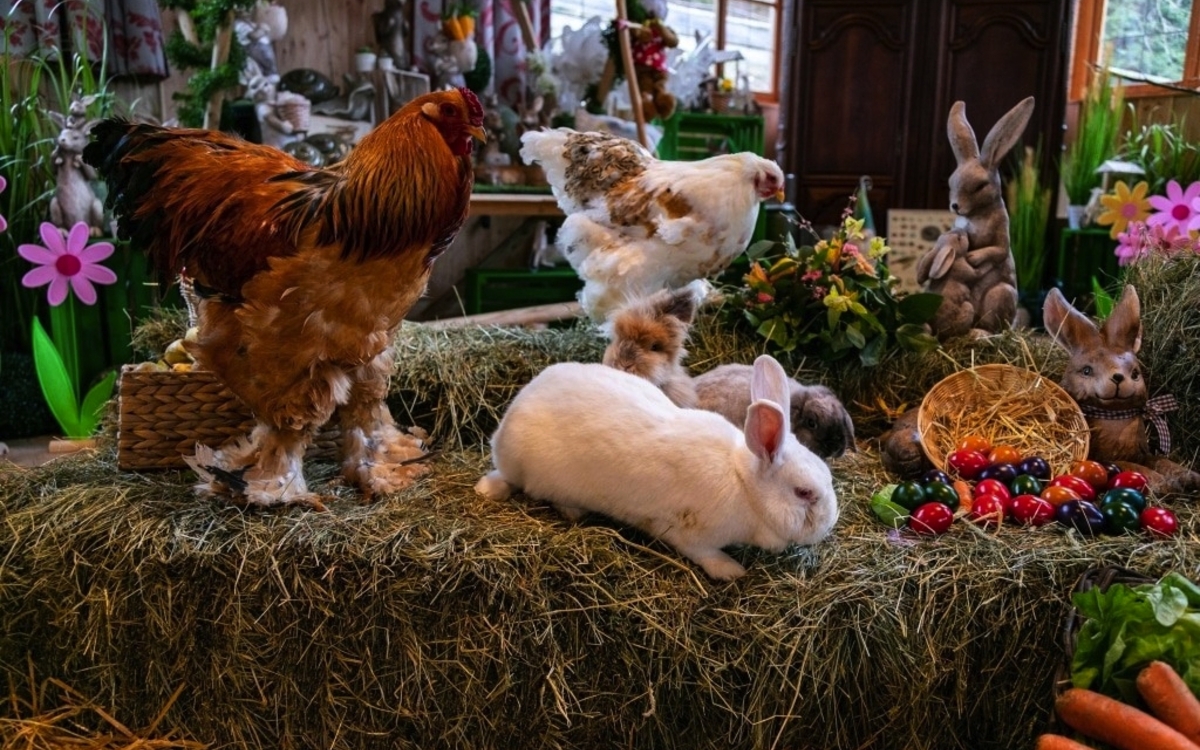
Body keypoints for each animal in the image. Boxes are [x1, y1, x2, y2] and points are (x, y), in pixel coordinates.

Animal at [472, 352, 840, 578]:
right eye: (804, 493)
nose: (830, 524)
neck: (744, 485)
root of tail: (517, 406)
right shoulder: (688, 534)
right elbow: (703, 553)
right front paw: (731, 569)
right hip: (520, 466)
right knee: (505, 478)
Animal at [916, 97, 1032, 338]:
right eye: (951, 181)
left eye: (980, 186)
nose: (955, 206)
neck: (975, 213)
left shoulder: (1002, 228)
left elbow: (998, 250)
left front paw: (973, 258)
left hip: (1000, 296)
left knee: (994, 326)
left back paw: (979, 333)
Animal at [1041, 283, 1200, 494]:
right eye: (1086, 371)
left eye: (1135, 373)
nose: (1118, 377)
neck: (1114, 413)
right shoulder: (1104, 458)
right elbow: (1130, 465)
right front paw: (1162, 483)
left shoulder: (1143, 454)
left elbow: (1160, 460)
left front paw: (1189, 477)